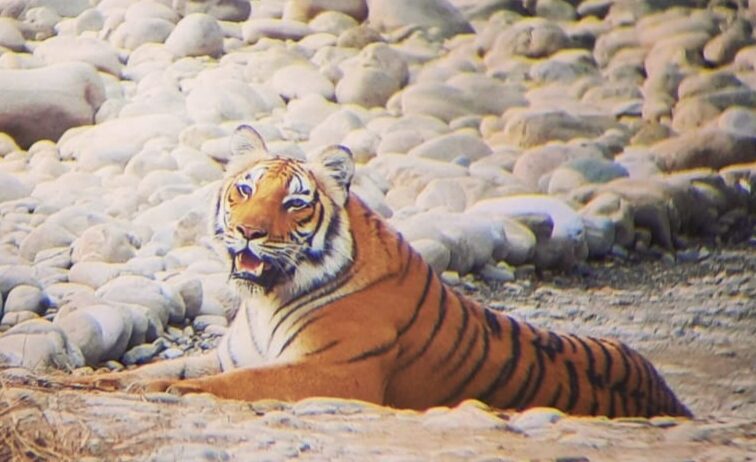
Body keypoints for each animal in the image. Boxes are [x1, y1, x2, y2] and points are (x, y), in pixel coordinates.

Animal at [68, 125, 692, 418]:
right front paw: (96, 380)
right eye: (244, 189)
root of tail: (671, 395)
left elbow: (229, 385)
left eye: (294, 202)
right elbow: (155, 368)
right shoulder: (229, 353)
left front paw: (166, 390)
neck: (265, 298)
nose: (246, 231)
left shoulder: (336, 372)